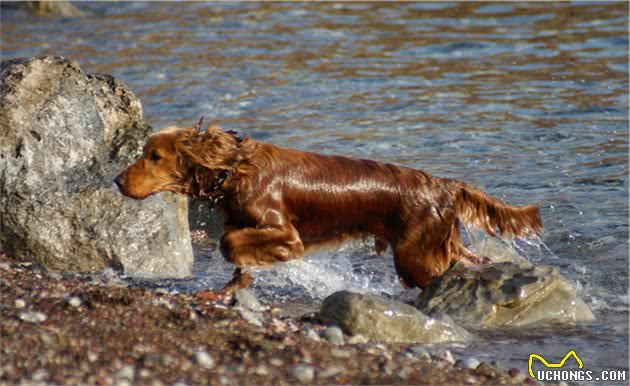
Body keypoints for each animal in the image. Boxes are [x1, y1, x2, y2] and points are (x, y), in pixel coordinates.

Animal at [117, 119, 544, 298]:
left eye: (154, 157)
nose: (118, 182)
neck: (234, 169)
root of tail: (445, 185)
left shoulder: (285, 232)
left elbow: (230, 243)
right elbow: (235, 250)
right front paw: (232, 286)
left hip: (415, 258)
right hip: (431, 249)